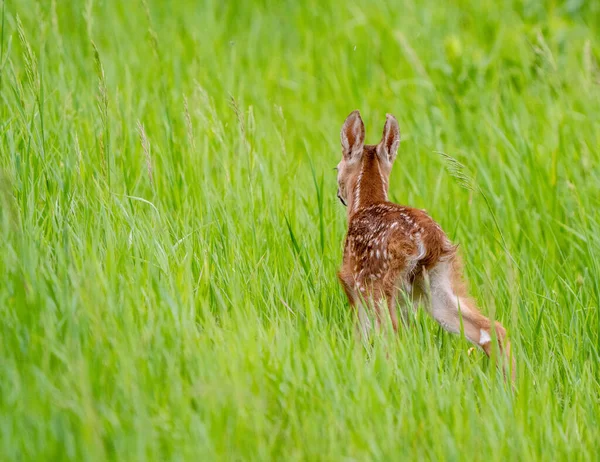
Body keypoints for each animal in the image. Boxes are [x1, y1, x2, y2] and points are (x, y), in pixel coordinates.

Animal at [336, 111, 512, 378]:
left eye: (336, 167)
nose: (339, 194)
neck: (365, 204)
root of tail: (426, 240)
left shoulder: (352, 284)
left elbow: (360, 338)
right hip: (436, 284)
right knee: (492, 331)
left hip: (379, 285)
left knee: (391, 336)